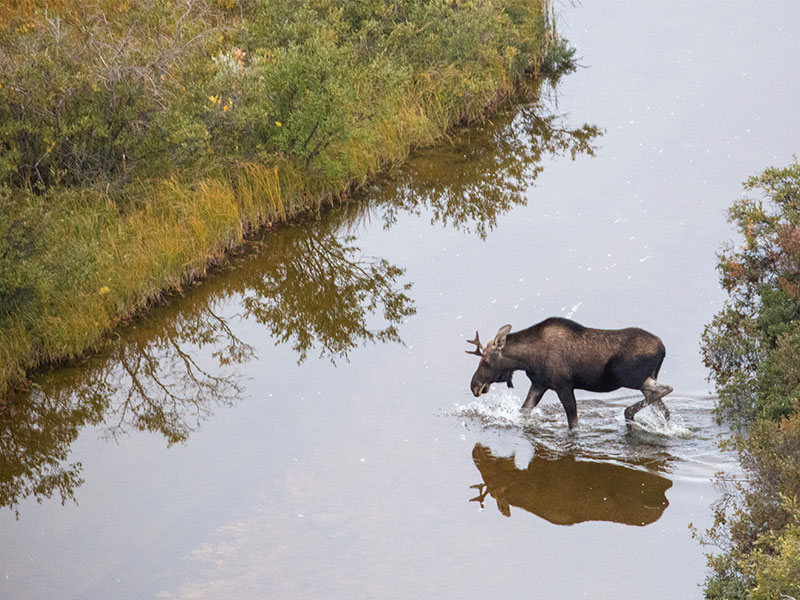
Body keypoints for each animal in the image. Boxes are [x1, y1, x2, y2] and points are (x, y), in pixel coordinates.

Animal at [466, 316, 672, 428]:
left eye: (485, 361)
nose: (474, 386)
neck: (527, 360)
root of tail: (663, 348)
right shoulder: (539, 384)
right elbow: (524, 410)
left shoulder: (563, 386)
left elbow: (573, 423)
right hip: (643, 380)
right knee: (664, 409)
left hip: (630, 378)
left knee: (666, 389)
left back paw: (628, 413)